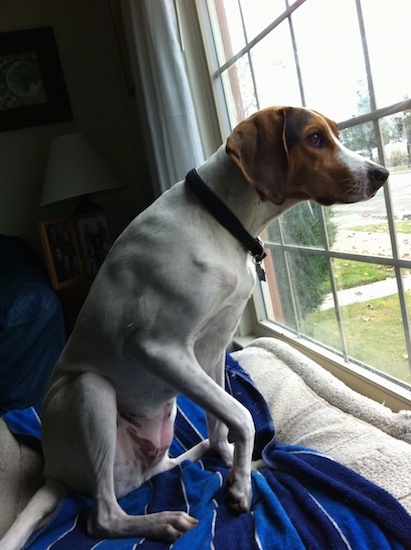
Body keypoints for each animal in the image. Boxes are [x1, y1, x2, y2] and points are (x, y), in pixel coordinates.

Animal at [0, 105, 390, 548]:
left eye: (334, 133)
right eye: (314, 138)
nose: (381, 173)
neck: (221, 220)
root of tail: (53, 474)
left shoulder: (212, 348)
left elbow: (224, 421)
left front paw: (237, 469)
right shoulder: (160, 349)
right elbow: (243, 416)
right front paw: (240, 487)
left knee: (162, 469)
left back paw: (199, 457)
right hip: (89, 389)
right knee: (102, 517)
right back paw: (160, 522)